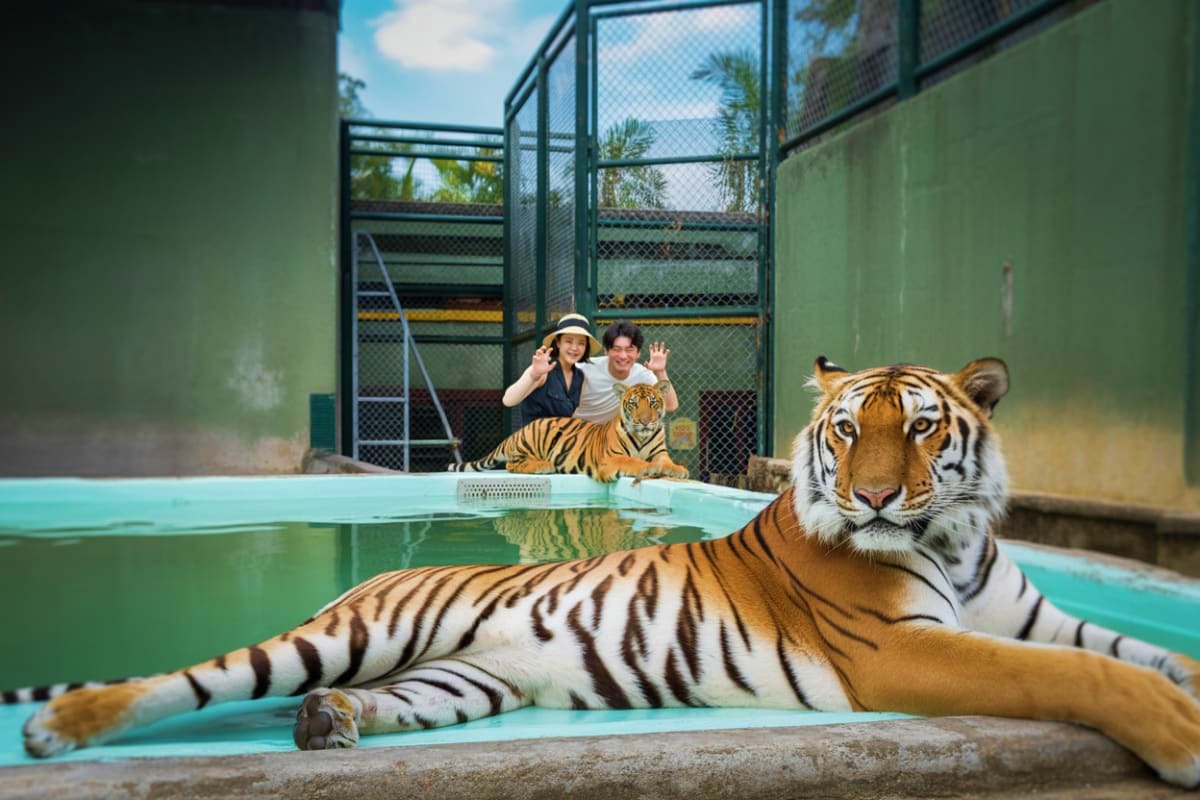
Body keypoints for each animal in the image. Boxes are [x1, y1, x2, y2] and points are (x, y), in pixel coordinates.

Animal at [447, 381, 688, 482]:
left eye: (653, 403)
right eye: (633, 404)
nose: (645, 421)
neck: (642, 436)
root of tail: (518, 432)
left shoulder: (660, 453)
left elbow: (666, 462)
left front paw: (679, 470)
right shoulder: (610, 458)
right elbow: (631, 461)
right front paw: (646, 467)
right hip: (533, 439)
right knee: (512, 465)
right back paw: (543, 466)